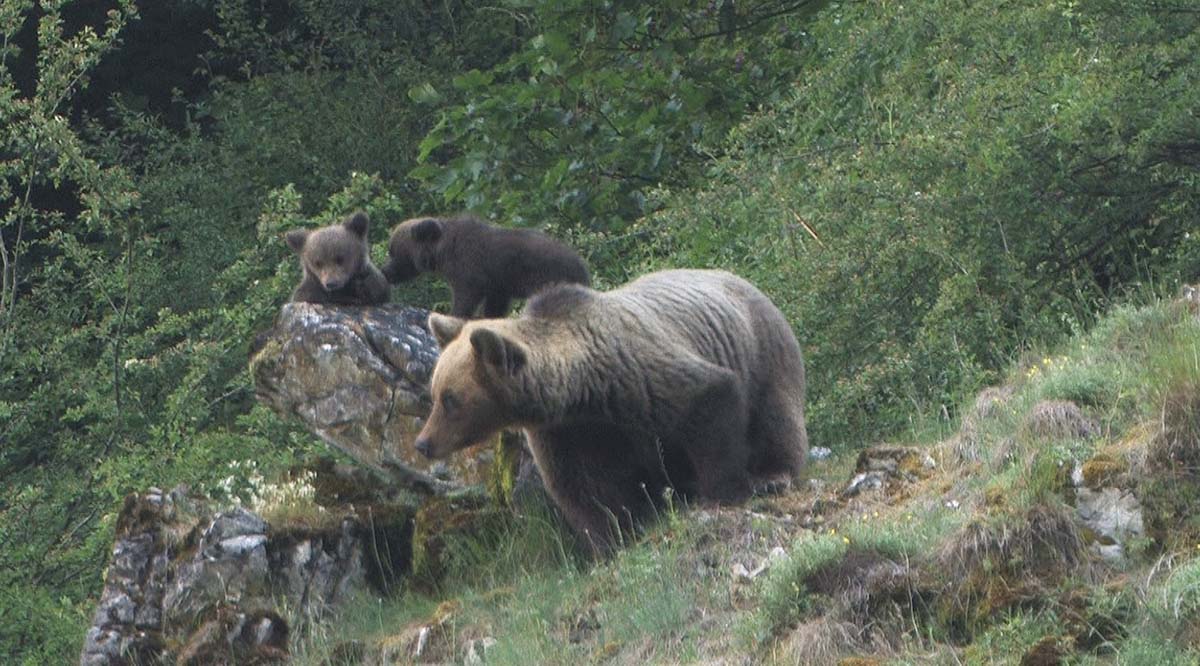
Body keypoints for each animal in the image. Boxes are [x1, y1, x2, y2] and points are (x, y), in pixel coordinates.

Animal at [380, 214, 590, 318]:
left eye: (394, 251)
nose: (387, 269)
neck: (442, 251)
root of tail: (582, 267)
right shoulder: (499, 284)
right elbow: (495, 305)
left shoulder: (469, 267)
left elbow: (467, 295)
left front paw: (455, 314)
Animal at [414, 268, 808, 555]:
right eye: (434, 393)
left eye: (450, 399)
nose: (423, 443)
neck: (585, 391)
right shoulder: (570, 431)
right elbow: (584, 487)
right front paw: (612, 538)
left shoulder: (643, 376)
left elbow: (708, 399)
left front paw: (725, 490)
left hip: (761, 348)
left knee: (775, 414)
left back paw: (773, 473)